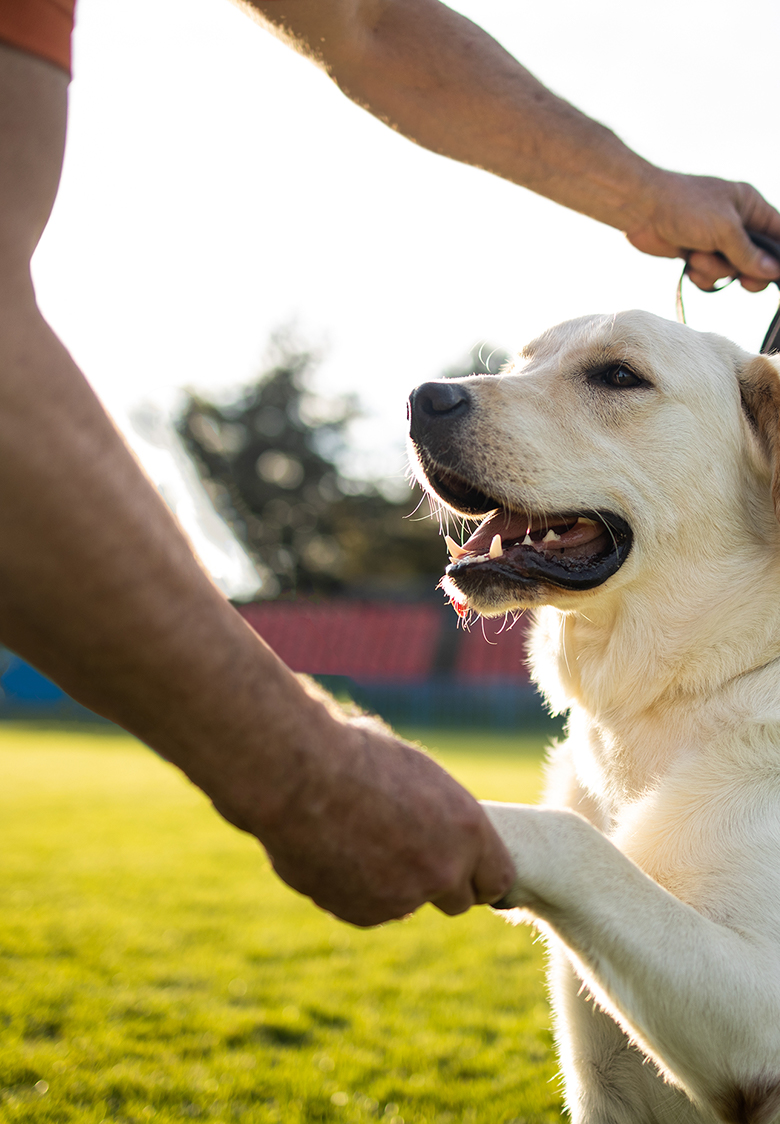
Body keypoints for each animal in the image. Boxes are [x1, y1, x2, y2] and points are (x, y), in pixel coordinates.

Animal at [406, 307, 780, 1124]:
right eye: (522, 362)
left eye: (618, 375)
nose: (422, 398)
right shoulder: (603, 1078)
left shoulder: (758, 1007)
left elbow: (574, 839)